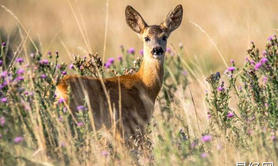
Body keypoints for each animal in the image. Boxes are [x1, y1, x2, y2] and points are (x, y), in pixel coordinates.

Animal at [56, 4, 182, 141]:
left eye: (164, 37)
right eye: (146, 38)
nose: (157, 50)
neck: (145, 85)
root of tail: (59, 88)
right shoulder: (127, 125)